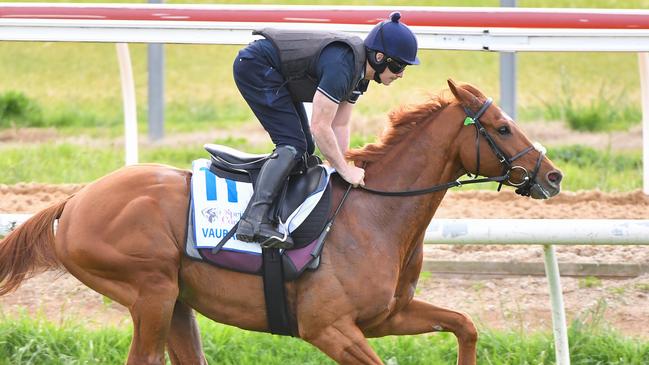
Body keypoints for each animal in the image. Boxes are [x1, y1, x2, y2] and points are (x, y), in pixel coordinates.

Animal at [0, 80, 560, 364]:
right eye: (502, 128)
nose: (552, 176)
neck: (375, 214)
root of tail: (74, 201)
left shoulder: (387, 316)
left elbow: (465, 325)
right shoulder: (328, 328)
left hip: (175, 301)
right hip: (149, 293)